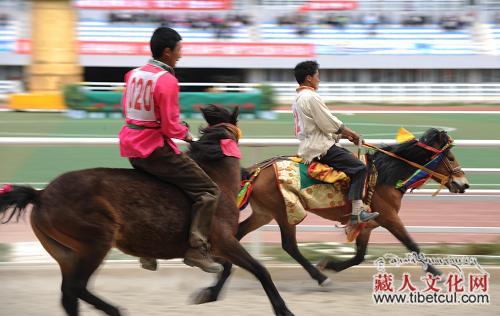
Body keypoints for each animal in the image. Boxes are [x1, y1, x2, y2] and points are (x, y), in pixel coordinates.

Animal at [0, 106, 294, 316]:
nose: (248, 173)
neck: (216, 180)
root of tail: (41, 194)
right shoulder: (225, 241)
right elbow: (259, 269)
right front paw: (283, 309)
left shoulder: (216, 248)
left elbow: (227, 267)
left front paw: (207, 294)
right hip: (95, 243)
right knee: (76, 288)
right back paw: (115, 310)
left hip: (66, 252)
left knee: (69, 295)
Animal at [194, 128, 468, 304]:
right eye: (450, 156)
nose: (463, 184)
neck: (385, 176)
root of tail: (257, 169)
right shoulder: (389, 218)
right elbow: (412, 245)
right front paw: (438, 274)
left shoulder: (368, 224)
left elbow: (359, 256)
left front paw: (331, 263)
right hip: (285, 210)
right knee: (289, 245)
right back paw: (320, 278)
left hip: (264, 213)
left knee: (236, 238)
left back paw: (213, 289)